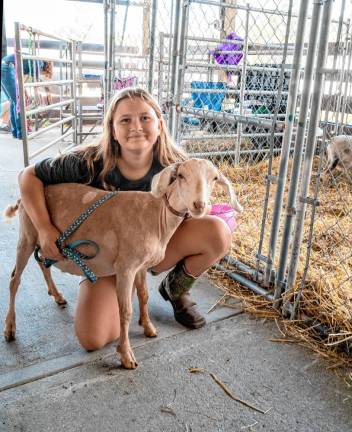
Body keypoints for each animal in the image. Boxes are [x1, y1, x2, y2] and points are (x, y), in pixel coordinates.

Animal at [4, 158, 243, 368]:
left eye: (214, 178)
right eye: (181, 176)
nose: (199, 205)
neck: (156, 216)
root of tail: (21, 200)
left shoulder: (141, 265)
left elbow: (144, 296)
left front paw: (148, 327)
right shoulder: (125, 266)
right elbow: (125, 310)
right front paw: (126, 355)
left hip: (44, 242)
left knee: (43, 263)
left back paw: (58, 296)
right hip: (27, 235)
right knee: (15, 279)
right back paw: (9, 329)